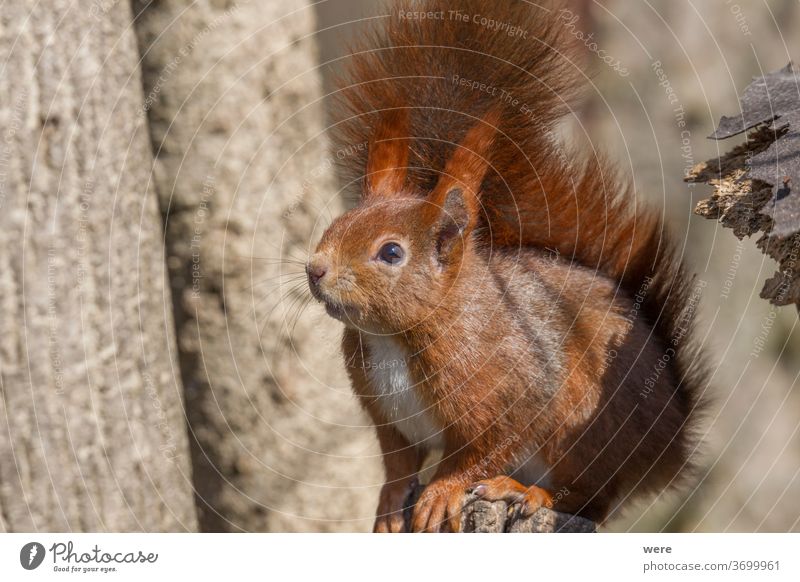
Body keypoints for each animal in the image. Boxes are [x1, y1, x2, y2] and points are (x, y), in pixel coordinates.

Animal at [306, 0, 708, 532]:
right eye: (336, 224)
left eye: (391, 253)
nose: (315, 270)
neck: (394, 337)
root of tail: (671, 441)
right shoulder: (390, 419)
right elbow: (398, 465)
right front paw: (391, 504)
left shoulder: (507, 390)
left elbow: (482, 450)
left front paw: (441, 493)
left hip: (585, 427)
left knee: (591, 496)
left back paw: (527, 491)